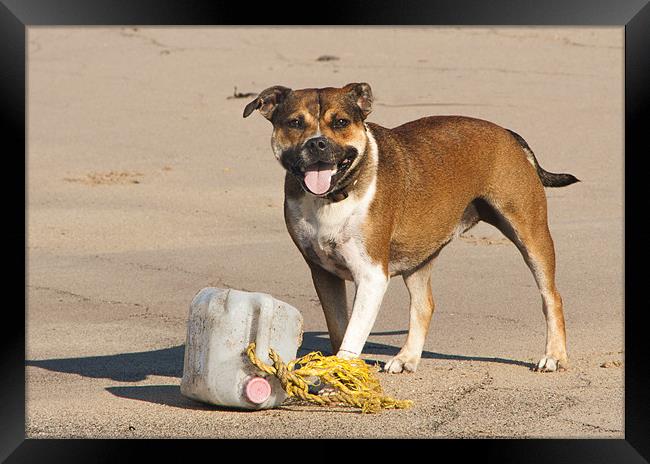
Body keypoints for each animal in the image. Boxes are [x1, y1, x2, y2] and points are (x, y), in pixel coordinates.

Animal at [243, 82, 576, 374]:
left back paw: (554, 356)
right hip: (420, 254)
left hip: (530, 233)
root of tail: (507, 133)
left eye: (340, 122)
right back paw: (407, 358)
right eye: (295, 123)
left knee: (551, 296)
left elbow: (353, 335)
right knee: (423, 305)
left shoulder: (371, 276)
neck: (333, 196)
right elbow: (340, 329)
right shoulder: (323, 274)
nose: (317, 143)